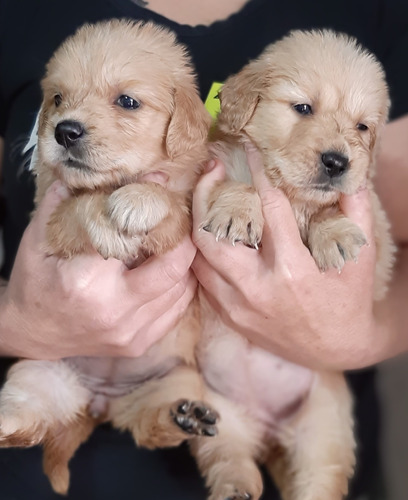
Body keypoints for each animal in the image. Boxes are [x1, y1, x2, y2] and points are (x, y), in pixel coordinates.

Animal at [0, 18, 217, 492]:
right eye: (57, 98)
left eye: (127, 101)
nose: (64, 130)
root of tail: (98, 405)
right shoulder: (49, 215)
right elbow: (76, 208)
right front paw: (103, 212)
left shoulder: (190, 221)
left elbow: (174, 204)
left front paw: (138, 200)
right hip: (38, 371)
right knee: (28, 423)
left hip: (177, 379)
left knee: (151, 429)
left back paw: (183, 418)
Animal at [194, 30, 396, 500]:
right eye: (303, 108)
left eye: (362, 127)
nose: (338, 162)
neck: (289, 192)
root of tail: (269, 433)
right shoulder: (211, 170)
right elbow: (238, 184)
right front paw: (239, 211)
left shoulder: (377, 236)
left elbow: (328, 208)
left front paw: (334, 233)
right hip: (218, 416)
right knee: (229, 458)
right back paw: (236, 486)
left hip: (324, 428)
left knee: (318, 480)